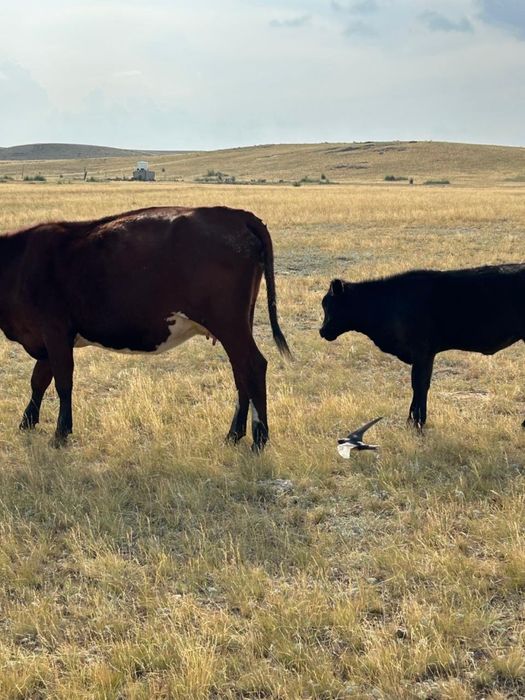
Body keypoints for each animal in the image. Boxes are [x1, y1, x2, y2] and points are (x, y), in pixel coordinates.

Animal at [0, 206, 291, 450]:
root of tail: (236, 214)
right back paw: (234, 435)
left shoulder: (56, 331)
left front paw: (61, 433)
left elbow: (62, 382)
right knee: (241, 373)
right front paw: (27, 422)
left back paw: (259, 440)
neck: (19, 262)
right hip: (237, 326)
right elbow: (39, 380)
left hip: (229, 324)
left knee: (253, 366)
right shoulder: (47, 338)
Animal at [319, 265, 525, 428]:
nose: (322, 331)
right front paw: (415, 419)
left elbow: (419, 384)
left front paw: (416, 421)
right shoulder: (424, 354)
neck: (388, 303)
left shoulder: (422, 352)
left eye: (330, 305)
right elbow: (420, 384)